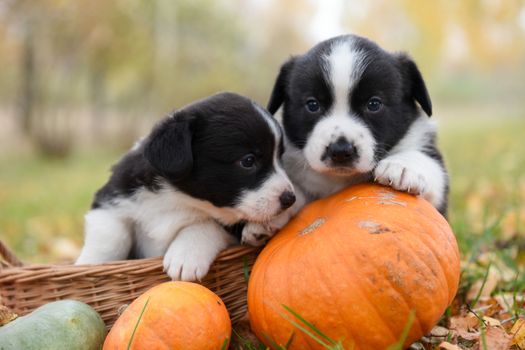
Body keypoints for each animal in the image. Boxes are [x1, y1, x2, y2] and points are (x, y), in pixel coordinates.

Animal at [76, 91, 294, 282]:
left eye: (280, 157)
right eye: (248, 161)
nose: (290, 198)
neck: (179, 197)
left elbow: (207, 223)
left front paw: (186, 256)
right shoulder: (112, 197)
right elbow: (111, 236)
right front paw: (88, 264)